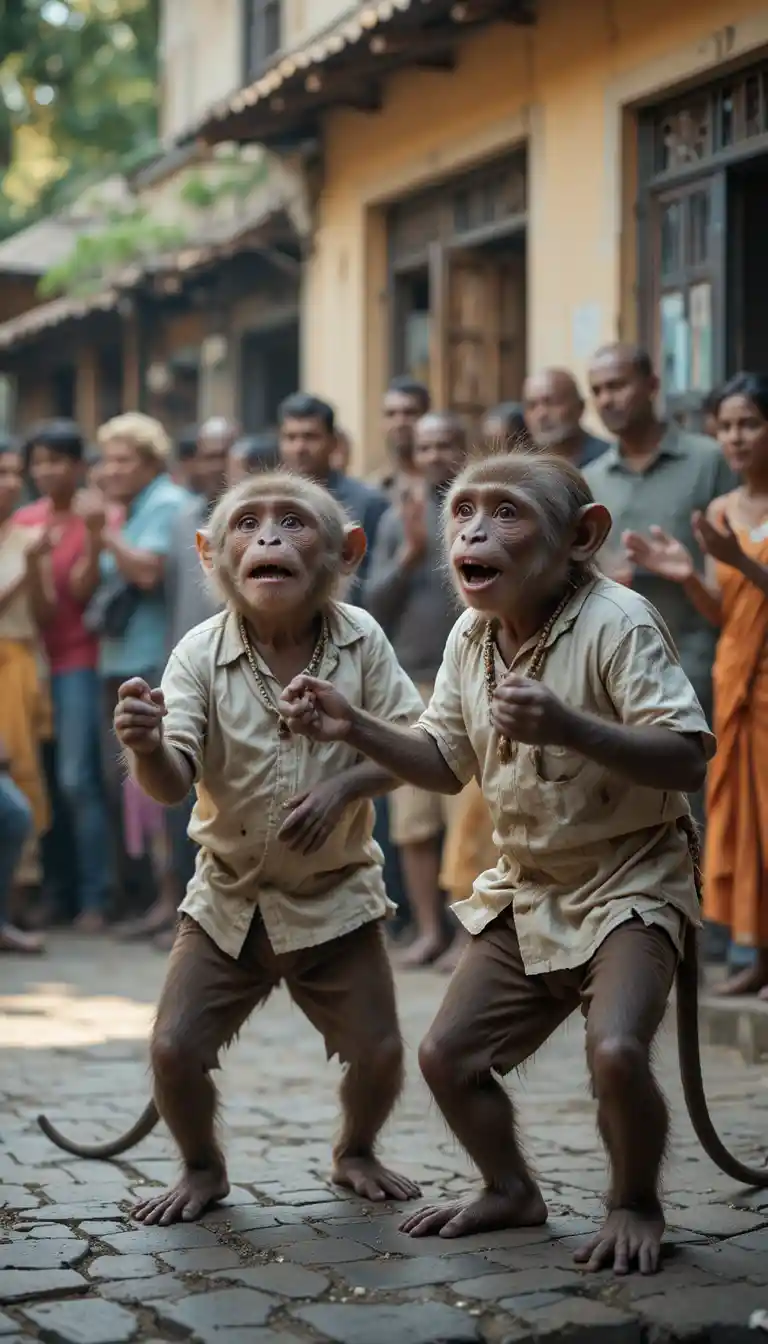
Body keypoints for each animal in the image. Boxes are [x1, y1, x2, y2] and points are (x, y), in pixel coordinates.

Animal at [37, 472, 425, 1224]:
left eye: (294, 521)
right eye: (248, 523)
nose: (269, 539)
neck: (278, 634)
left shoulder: (371, 639)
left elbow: (408, 746)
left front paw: (325, 783)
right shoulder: (190, 657)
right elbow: (176, 763)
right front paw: (139, 728)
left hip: (339, 947)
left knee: (375, 1051)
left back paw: (357, 1163)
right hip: (217, 946)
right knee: (176, 1050)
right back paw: (199, 1181)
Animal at [277, 449, 768, 1278]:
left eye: (507, 512)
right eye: (468, 508)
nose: (472, 533)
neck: (530, 618)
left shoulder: (632, 629)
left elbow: (676, 750)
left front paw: (545, 715)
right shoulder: (462, 639)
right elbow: (437, 759)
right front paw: (330, 712)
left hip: (641, 929)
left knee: (616, 1057)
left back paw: (632, 1221)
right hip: (507, 950)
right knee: (449, 1056)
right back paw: (507, 1201)